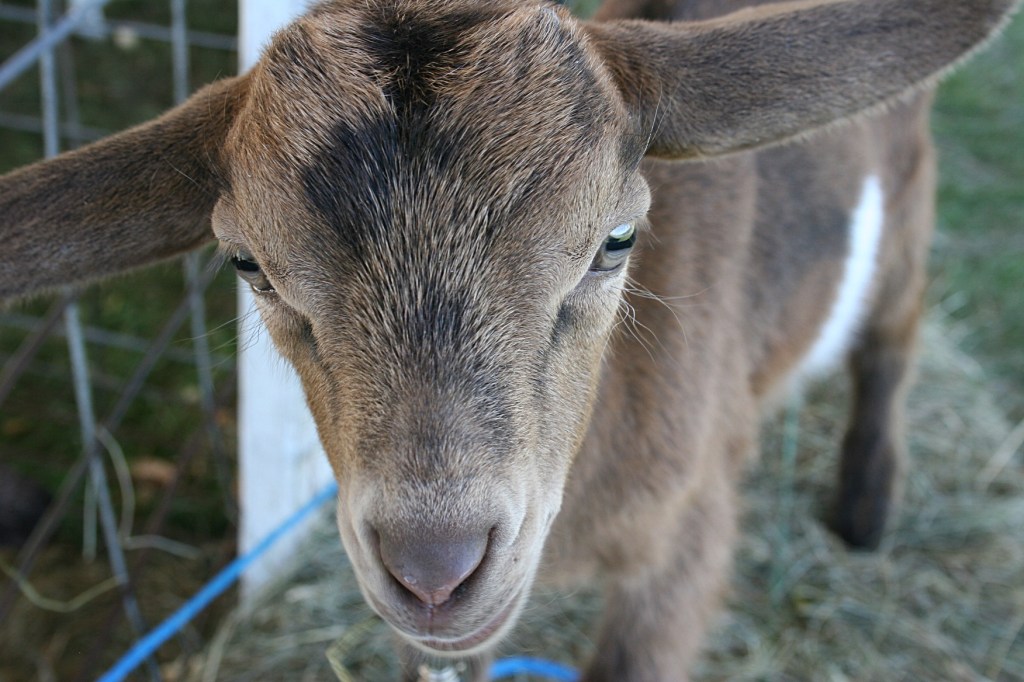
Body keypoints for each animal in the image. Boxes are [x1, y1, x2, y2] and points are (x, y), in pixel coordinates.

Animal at [0, 0, 1018, 678]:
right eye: (249, 264)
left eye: (618, 237)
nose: (435, 569)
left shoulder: (686, 538)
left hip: (909, 206)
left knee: (893, 334)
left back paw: (866, 505)